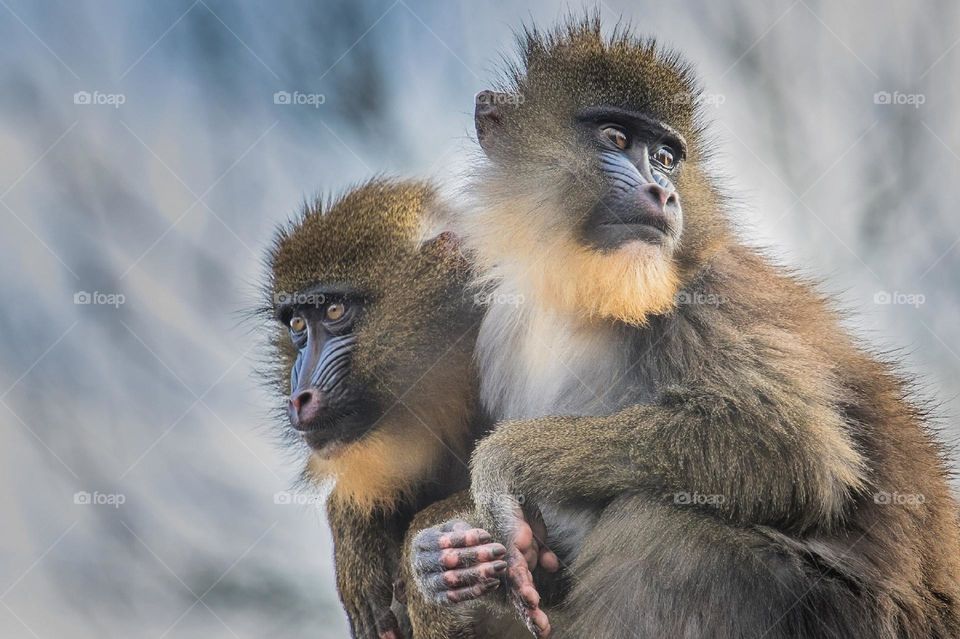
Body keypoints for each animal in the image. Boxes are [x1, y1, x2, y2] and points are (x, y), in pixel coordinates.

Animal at [409, 16, 960, 639]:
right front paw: (445, 561)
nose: (663, 192)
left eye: (667, 156)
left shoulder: (705, 302)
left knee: (659, 524)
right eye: (616, 138)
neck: (574, 290)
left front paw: (504, 461)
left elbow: (793, 448)